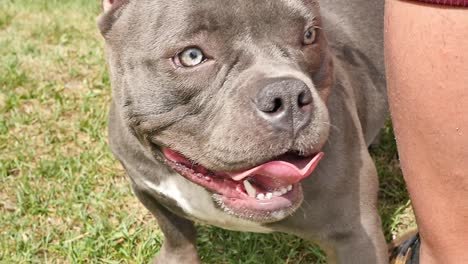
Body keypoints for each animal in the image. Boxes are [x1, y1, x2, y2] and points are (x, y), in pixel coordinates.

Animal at [98, 0, 388, 262]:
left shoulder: (354, 235)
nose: (287, 95)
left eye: (309, 35)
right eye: (191, 56)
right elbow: (176, 233)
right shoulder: (144, 186)